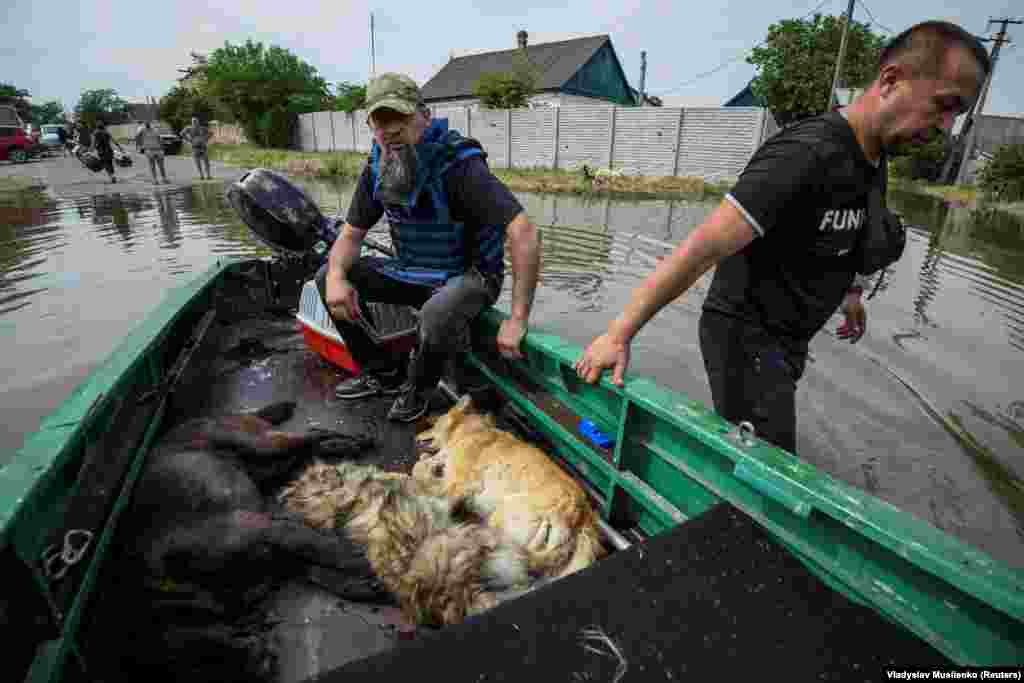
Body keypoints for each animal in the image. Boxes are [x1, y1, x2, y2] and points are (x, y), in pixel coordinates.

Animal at [83, 401, 385, 683]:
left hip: (259, 445)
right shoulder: (279, 555)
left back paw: (352, 441)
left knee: (307, 435)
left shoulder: (267, 529)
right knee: (307, 445)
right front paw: (362, 584)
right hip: (267, 466)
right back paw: (341, 445)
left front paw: (360, 562)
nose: (264, 663)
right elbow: (320, 571)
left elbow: (322, 548)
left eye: (202, 659)